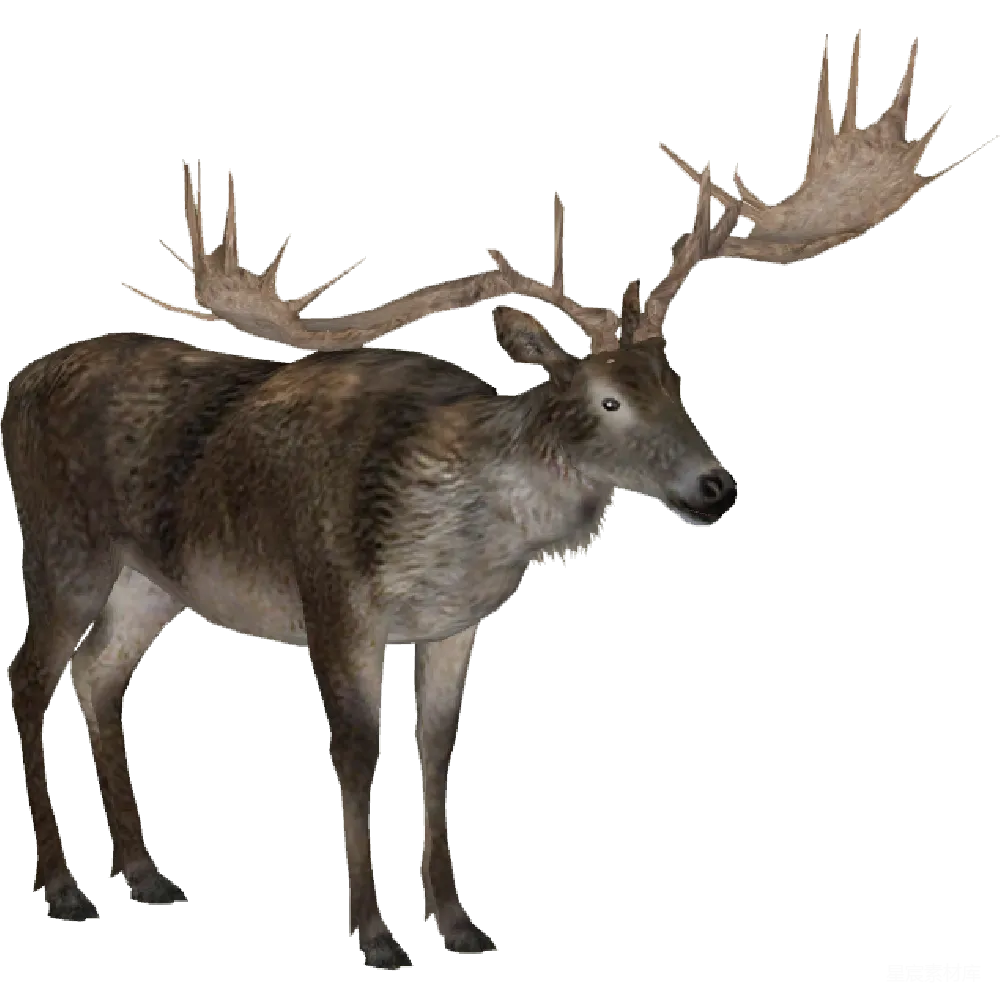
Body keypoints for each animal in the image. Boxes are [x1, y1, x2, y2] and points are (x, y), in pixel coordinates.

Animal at [3, 30, 990, 967]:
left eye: (675, 381)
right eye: (607, 399)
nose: (717, 486)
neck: (447, 526)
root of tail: (18, 385)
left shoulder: (454, 623)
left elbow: (437, 753)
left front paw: (458, 923)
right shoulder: (333, 599)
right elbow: (356, 755)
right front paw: (374, 934)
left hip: (150, 580)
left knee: (100, 673)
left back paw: (145, 875)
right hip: (63, 545)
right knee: (29, 671)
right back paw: (64, 888)